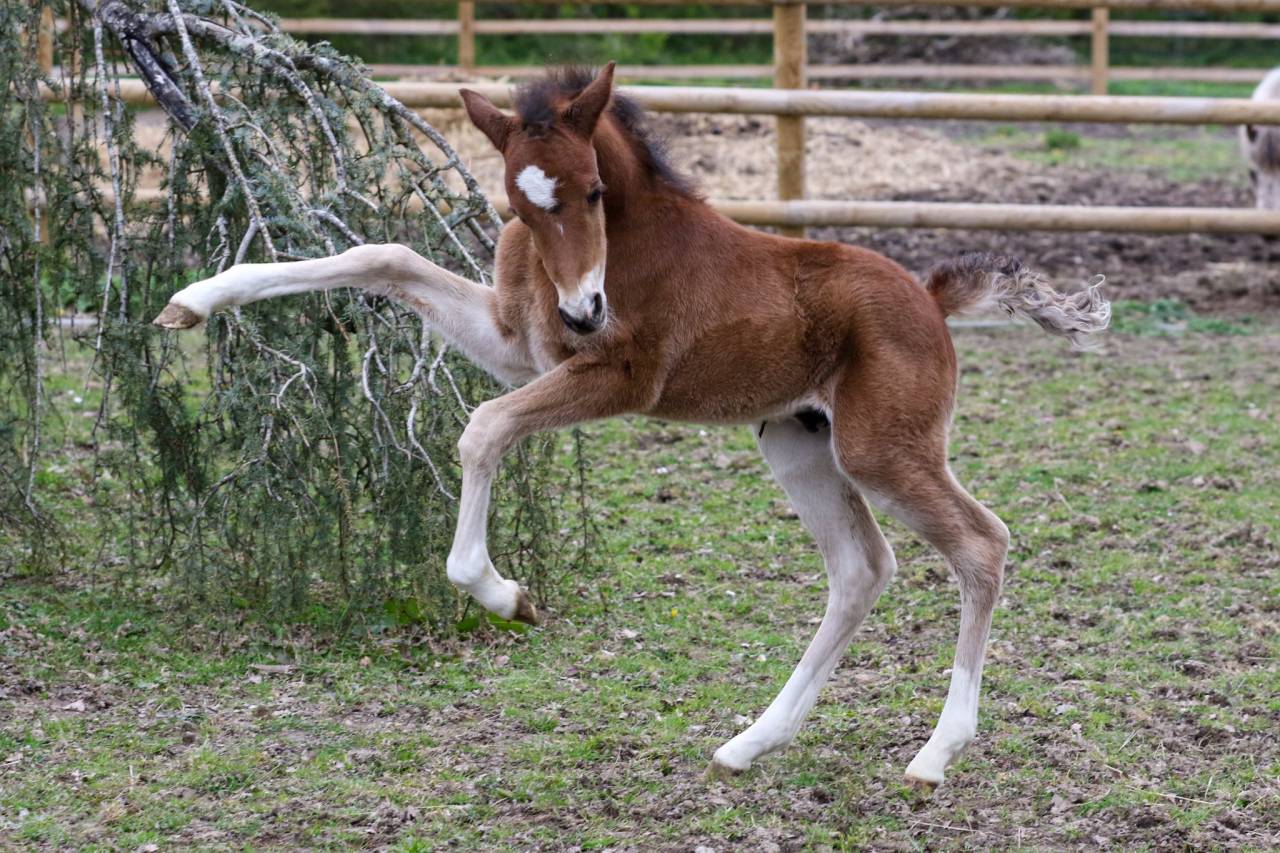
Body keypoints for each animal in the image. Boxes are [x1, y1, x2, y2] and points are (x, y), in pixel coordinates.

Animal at [153, 63, 1110, 791]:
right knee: (861, 570)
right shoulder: (520, 346)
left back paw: (935, 752)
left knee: (981, 543)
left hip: (881, 448)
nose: (585, 309)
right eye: (519, 203)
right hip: (797, 442)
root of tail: (932, 298)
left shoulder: (615, 377)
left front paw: (504, 594)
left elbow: (483, 428)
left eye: (593, 190)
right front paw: (192, 300)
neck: (618, 251)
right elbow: (379, 256)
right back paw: (751, 741)